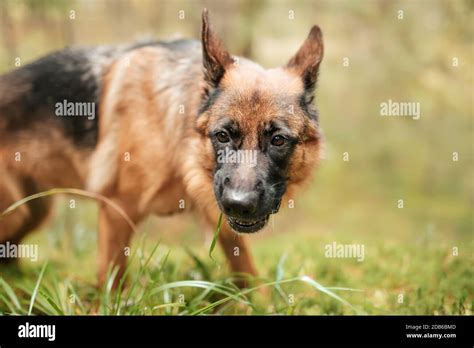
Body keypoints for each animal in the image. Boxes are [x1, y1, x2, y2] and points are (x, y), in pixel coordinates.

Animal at [0, 10, 322, 286]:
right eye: (222, 136)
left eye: (278, 140)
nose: (239, 204)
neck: (178, 143)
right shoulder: (116, 211)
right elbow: (112, 285)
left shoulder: (217, 213)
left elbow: (247, 271)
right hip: (15, 215)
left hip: (30, 214)